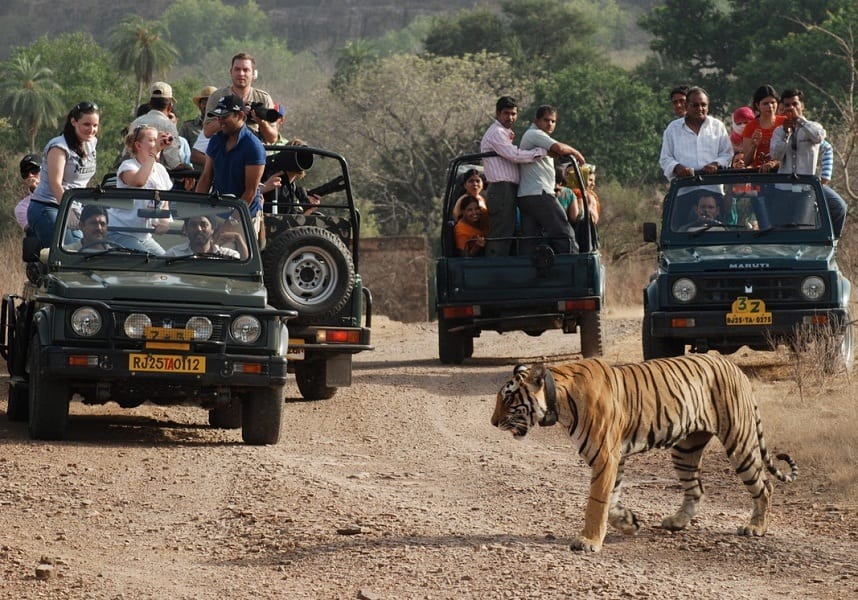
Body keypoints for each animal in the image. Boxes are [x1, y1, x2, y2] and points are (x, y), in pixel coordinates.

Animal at [491, 353, 797, 553]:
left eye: (508, 398)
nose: (493, 423)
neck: (559, 401)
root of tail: (734, 366)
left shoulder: (605, 456)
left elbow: (596, 502)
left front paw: (588, 541)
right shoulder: (614, 458)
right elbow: (611, 500)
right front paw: (629, 523)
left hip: (739, 440)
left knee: (764, 486)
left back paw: (755, 527)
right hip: (686, 449)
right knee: (696, 489)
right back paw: (677, 521)